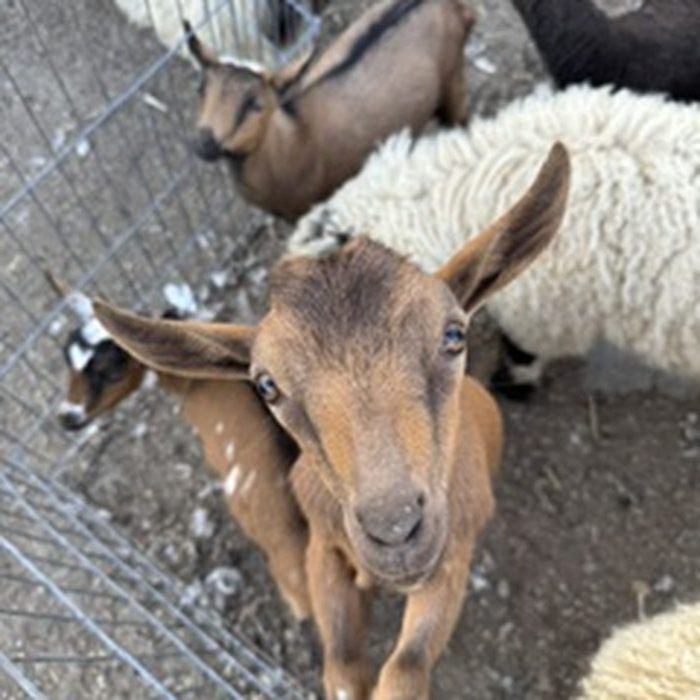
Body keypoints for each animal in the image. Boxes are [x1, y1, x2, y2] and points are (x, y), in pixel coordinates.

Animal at [91, 143, 571, 699]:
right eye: (266, 385)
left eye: (454, 335)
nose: (395, 530)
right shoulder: (323, 550)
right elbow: (340, 665)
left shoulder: (452, 556)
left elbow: (405, 670)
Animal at [186, 0, 475, 221]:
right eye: (201, 89)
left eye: (256, 105)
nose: (204, 142)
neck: (294, 136)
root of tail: (456, 7)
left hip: (453, 82)